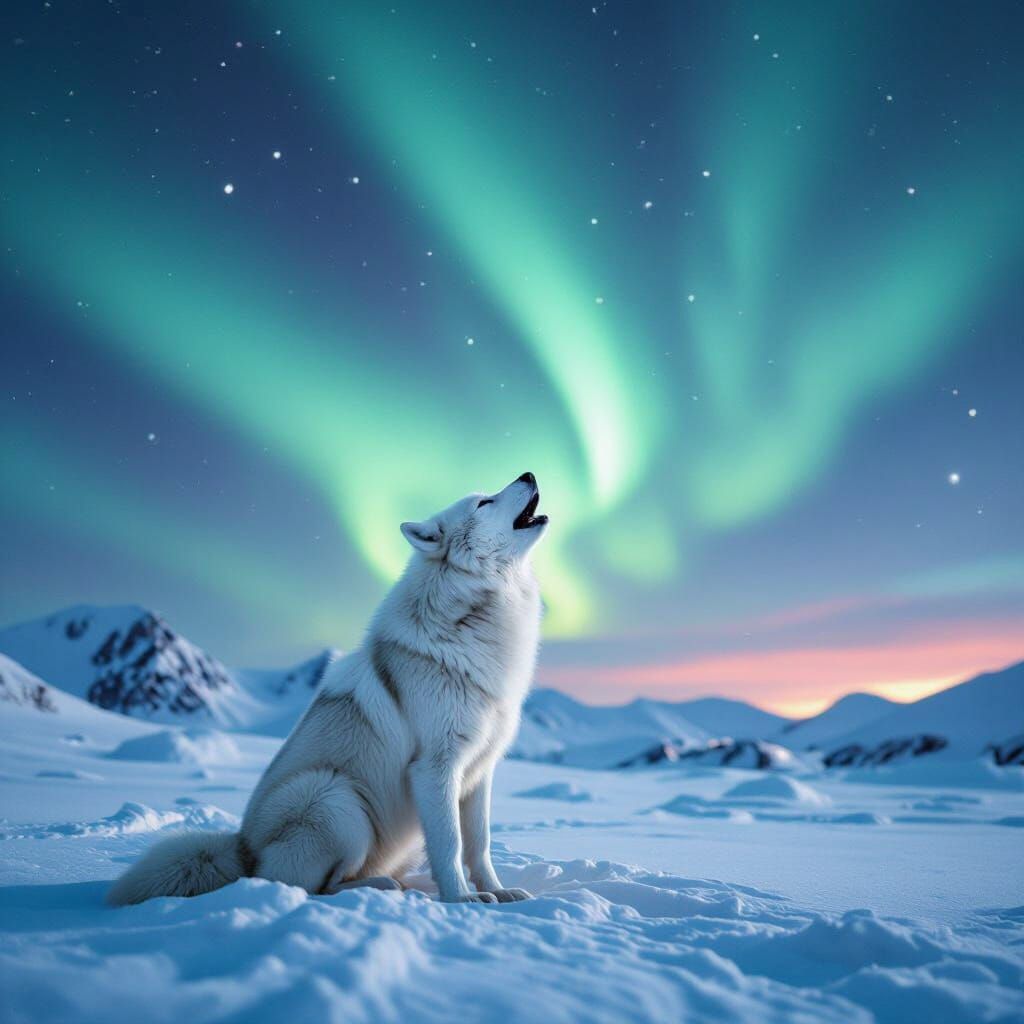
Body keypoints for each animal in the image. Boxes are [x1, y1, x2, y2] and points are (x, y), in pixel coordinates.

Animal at [107, 472, 548, 906]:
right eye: (483, 503)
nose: (528, 474)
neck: (473, 618)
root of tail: (242, 849)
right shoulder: (434, 767)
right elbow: (451, 844)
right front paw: (461, 899)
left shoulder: (478, 772)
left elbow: (479, 844)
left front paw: (498, 892)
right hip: (334, 799)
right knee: (314, 886)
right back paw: (383, 887)